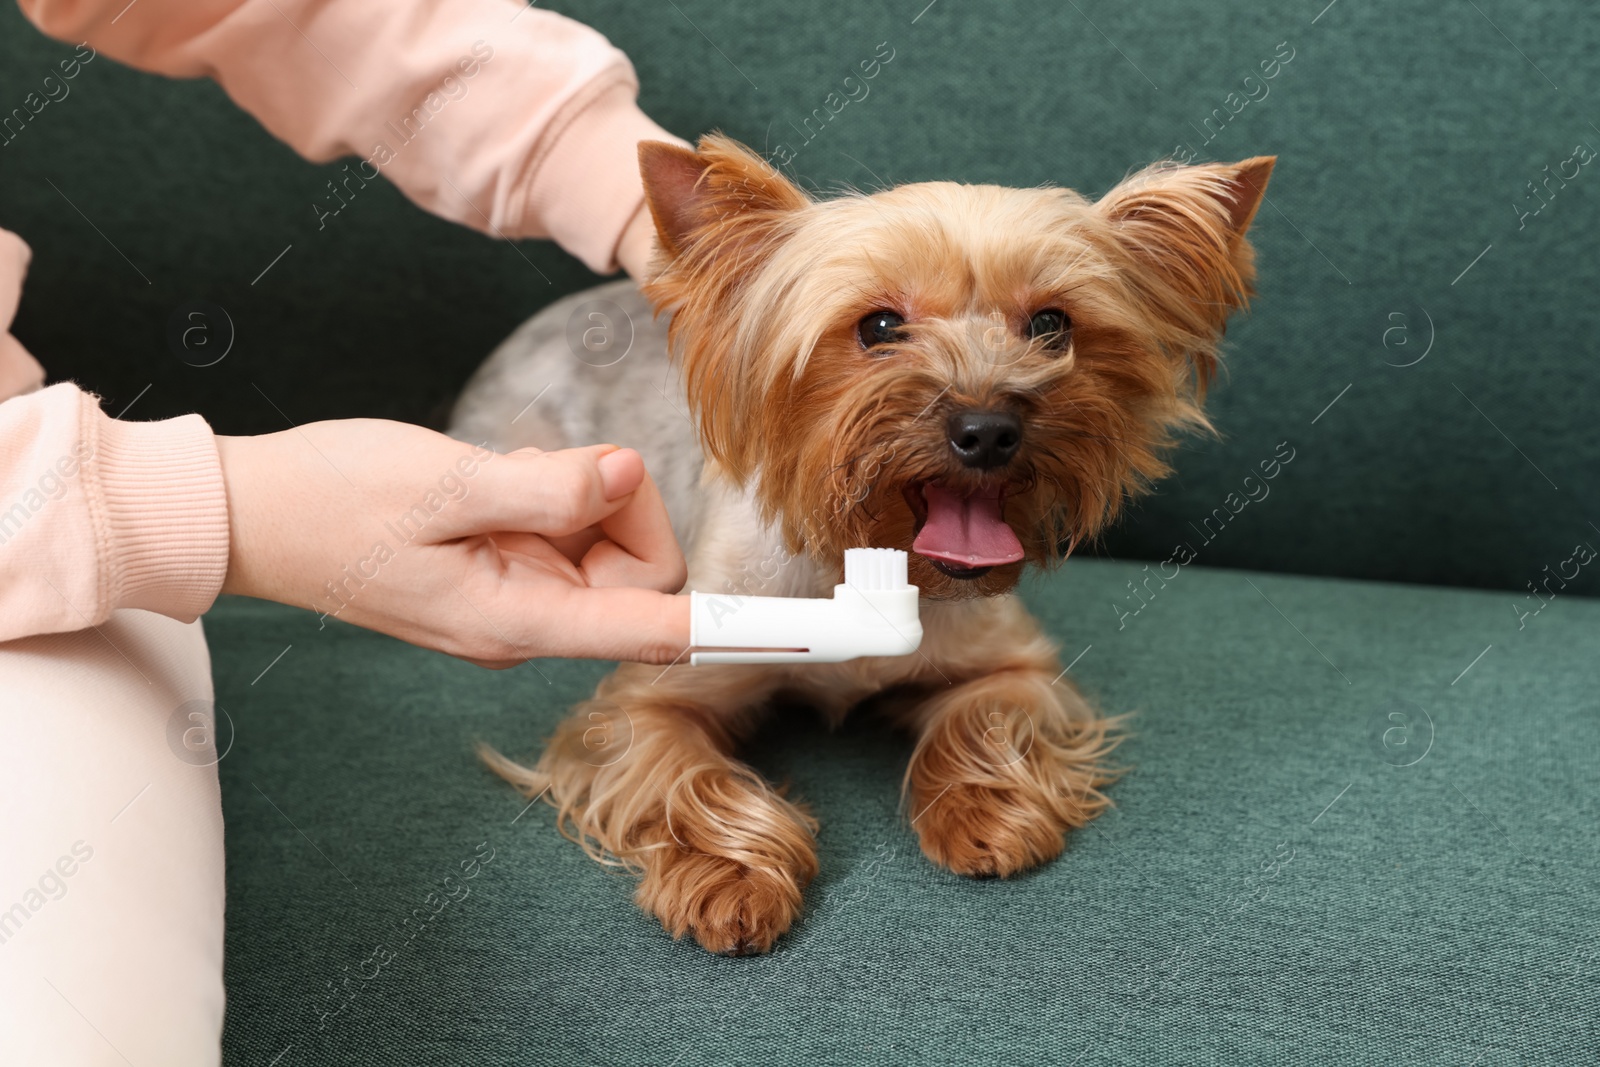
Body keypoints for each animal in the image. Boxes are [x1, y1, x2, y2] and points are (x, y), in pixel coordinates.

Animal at [451, 133, 1273, 953]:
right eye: (879, 327)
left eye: (1050, 326)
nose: (988, 427)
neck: (872, 559)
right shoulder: (644, 702)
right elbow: (678, 769)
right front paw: (730, 873)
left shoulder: (1014, 664)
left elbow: (987, 713)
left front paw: (987, 811)